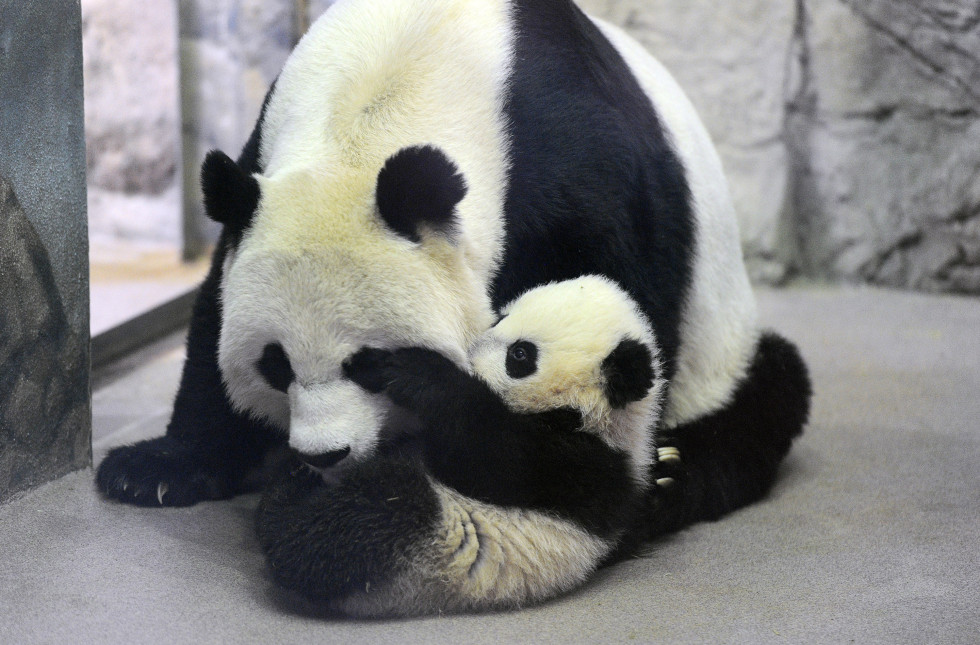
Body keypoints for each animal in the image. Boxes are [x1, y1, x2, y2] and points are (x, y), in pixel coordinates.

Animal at [95, 0, 812, 544]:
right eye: (275, 364)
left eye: (367, 363)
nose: (325, 455)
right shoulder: (261, 163)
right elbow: (212, 312)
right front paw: (156, 468)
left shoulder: (577, 163)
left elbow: (617, 309)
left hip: (723, 343)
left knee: (767, 397)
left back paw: (672, 478)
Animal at [256, 272, 676, 612]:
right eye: (501, 317)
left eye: (519, 354)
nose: (469, 353)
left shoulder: (580, 467)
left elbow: (492, 455)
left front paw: (419, 372)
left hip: (429, 549)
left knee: (365, 517)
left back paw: (286, 501)